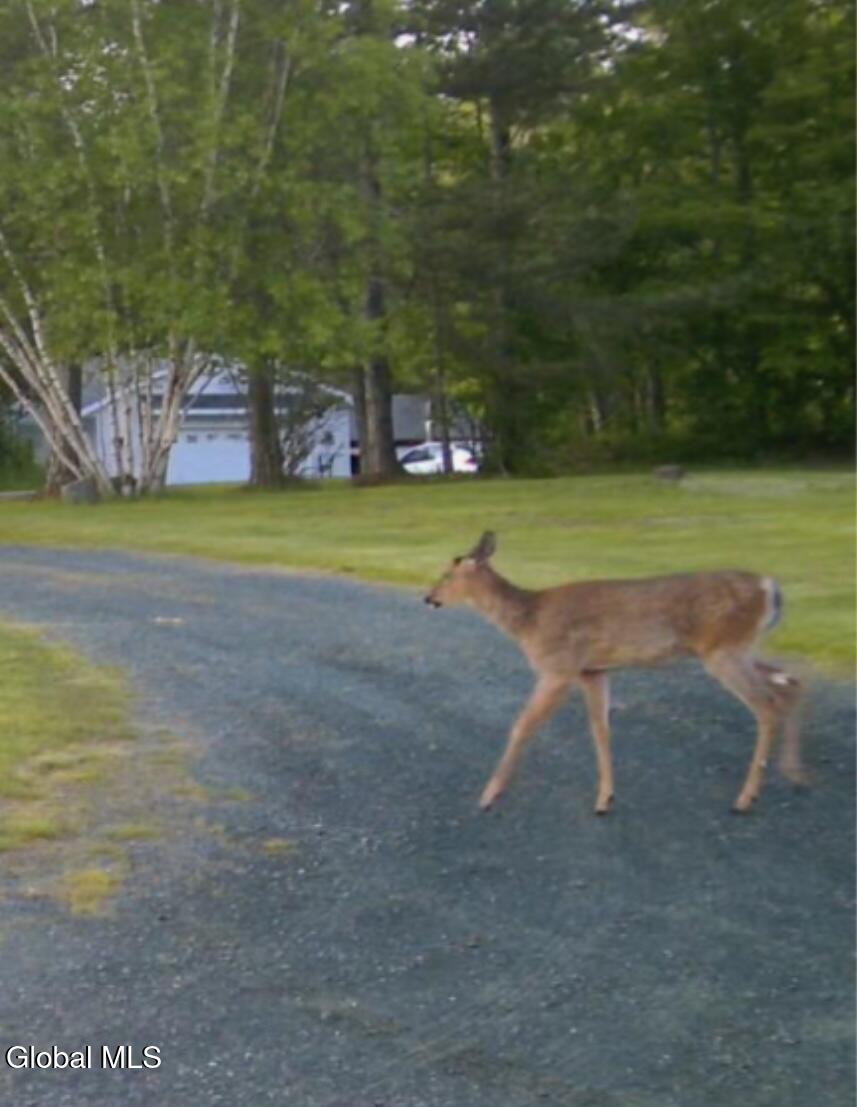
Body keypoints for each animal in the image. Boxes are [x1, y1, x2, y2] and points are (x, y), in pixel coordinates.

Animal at [424, 532, 806, 815]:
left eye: (448, 573)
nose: (429, 597)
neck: (528, 621)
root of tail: (770, 587)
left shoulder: (558, 668)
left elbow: (522, 725)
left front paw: (489, 795)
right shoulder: (593, 670)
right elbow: (600, 730)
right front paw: (605, 798)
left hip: (724, 650)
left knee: (767, 704)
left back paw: (746, 798)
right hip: (739, 648)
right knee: (790, 683)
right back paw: (794, 774)